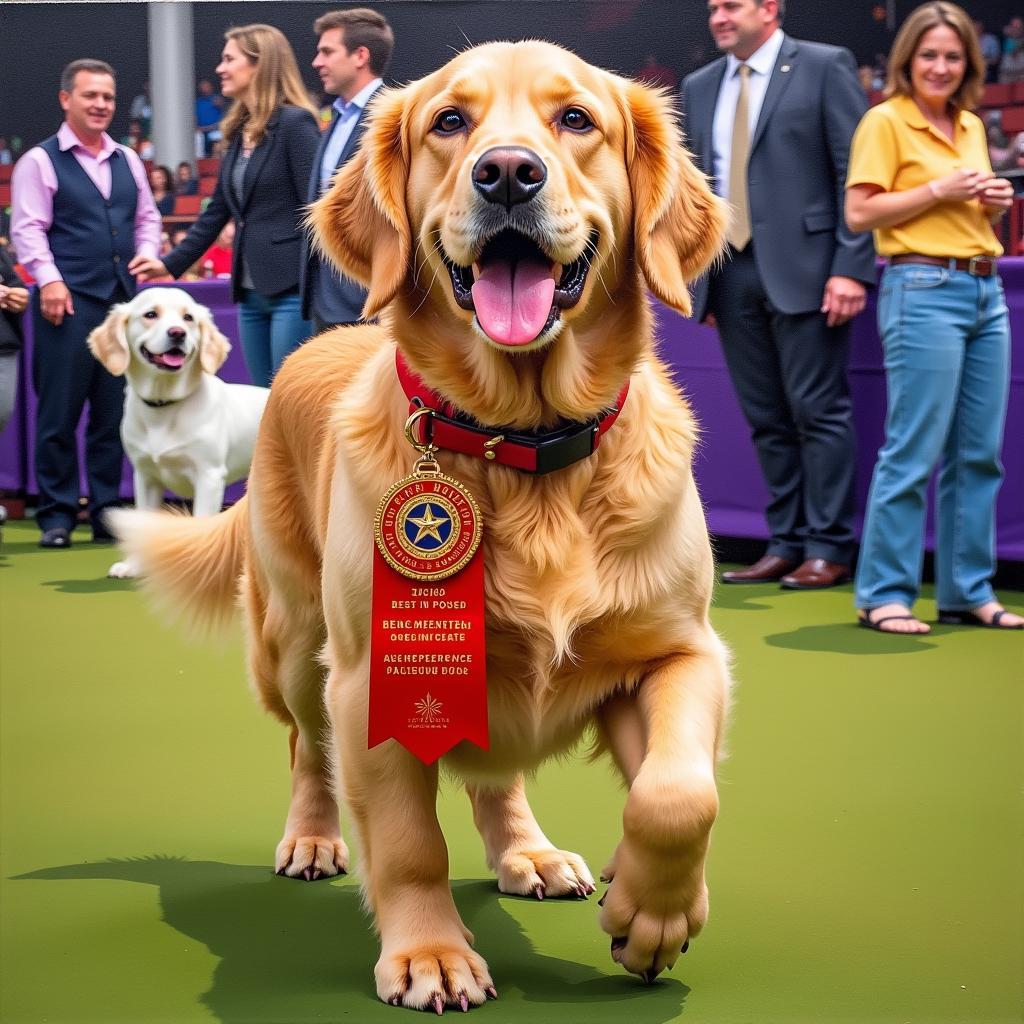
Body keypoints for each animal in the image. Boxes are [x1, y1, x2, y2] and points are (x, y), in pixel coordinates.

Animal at [88, 288, 270, 577]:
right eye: (151, 314)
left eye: (188, 318)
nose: (177, 333)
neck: (164, 406)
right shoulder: (145, 476)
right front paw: (133, 565)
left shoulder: (209, 476)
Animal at [112, 37, 733, 1007]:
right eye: (449, 121)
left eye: (576, 119)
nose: (508, 173)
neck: (523, 447)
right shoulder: (372, 680)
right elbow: (409, 842)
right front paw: (429, 954)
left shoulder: (682, 650)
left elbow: (679, 793)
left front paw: (656, 914)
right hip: (296, 640)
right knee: (307, 750)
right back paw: (314, 838)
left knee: (495, 778)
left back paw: (531, 854)